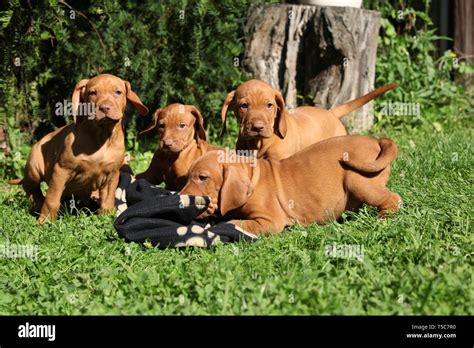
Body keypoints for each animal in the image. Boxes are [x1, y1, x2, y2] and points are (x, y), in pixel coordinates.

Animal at [180, 135, 402, 235]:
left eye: (202, 177)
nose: (180, 200)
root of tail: (376, 141)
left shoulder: (269, 221)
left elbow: (235, 223)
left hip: (359, 181)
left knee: (393, 199)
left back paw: (381, 220)